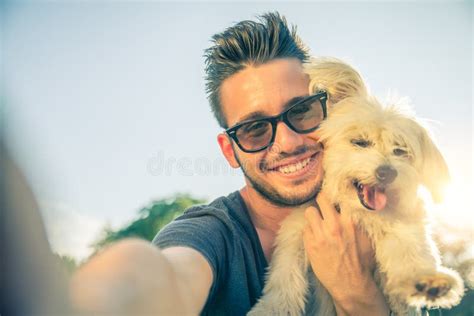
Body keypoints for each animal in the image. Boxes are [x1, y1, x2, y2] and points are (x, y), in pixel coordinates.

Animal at [250, 58, 464, 314]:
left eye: (400, 150)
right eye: (360, 142)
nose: (387, 172)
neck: (360, 213)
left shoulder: (402, 227)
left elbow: (411, 252)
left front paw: (427, 281)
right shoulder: (296, 230)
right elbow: (284, 276)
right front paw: (270, 308)